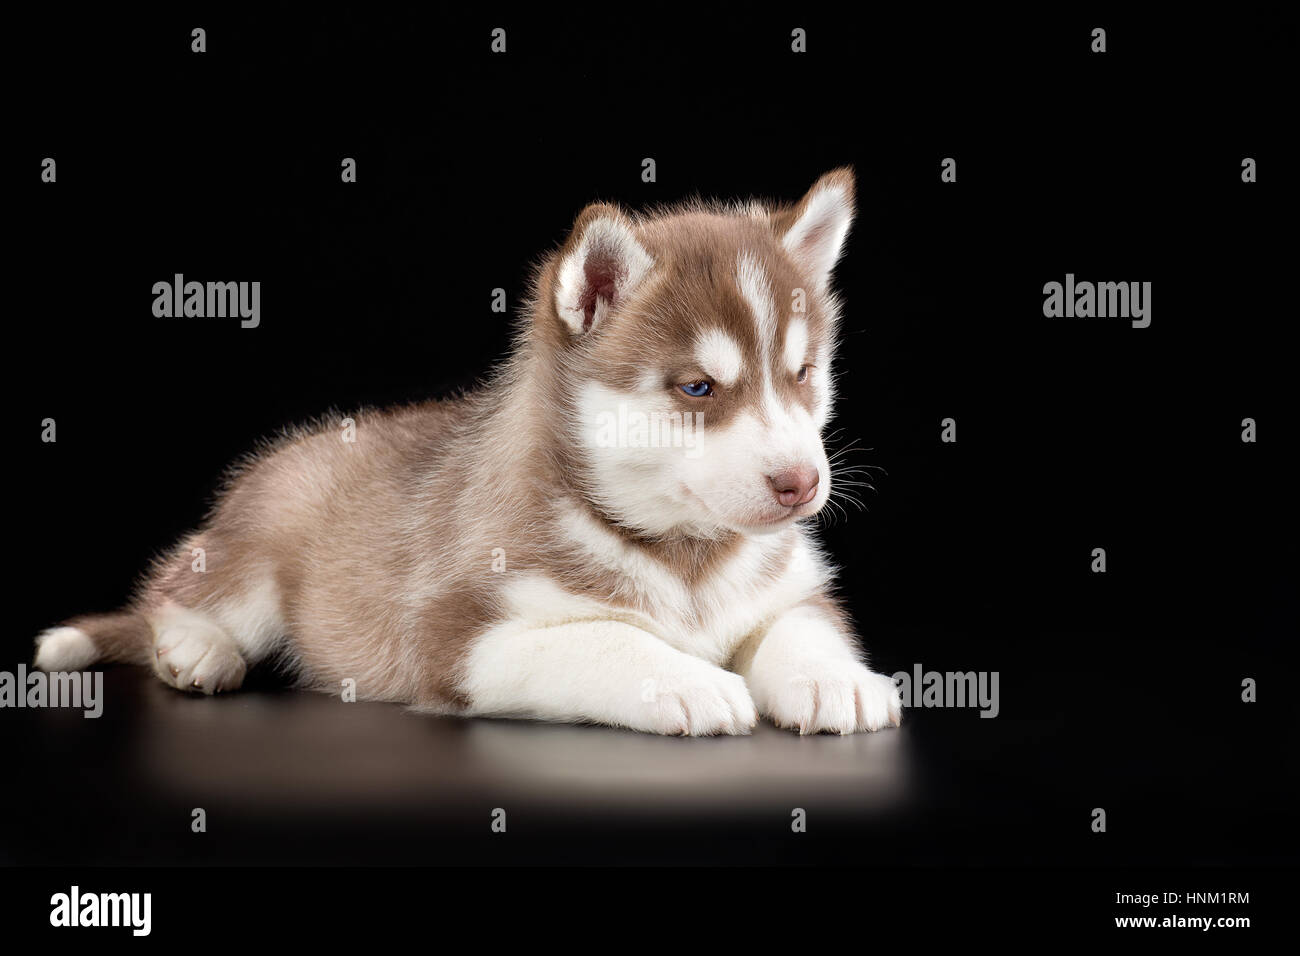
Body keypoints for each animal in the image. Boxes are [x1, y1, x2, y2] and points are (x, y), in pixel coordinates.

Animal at [32, 171, 904, 738]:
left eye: (802, 373)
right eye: (697, 388)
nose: (802, 484)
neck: (681, 556)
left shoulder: (787, 582)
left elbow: (800, 620)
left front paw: (834, 679)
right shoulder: (460, 635)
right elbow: (607, 638)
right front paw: (689, 679)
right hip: (256, 548)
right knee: (177, 591)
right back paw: (195, 645)